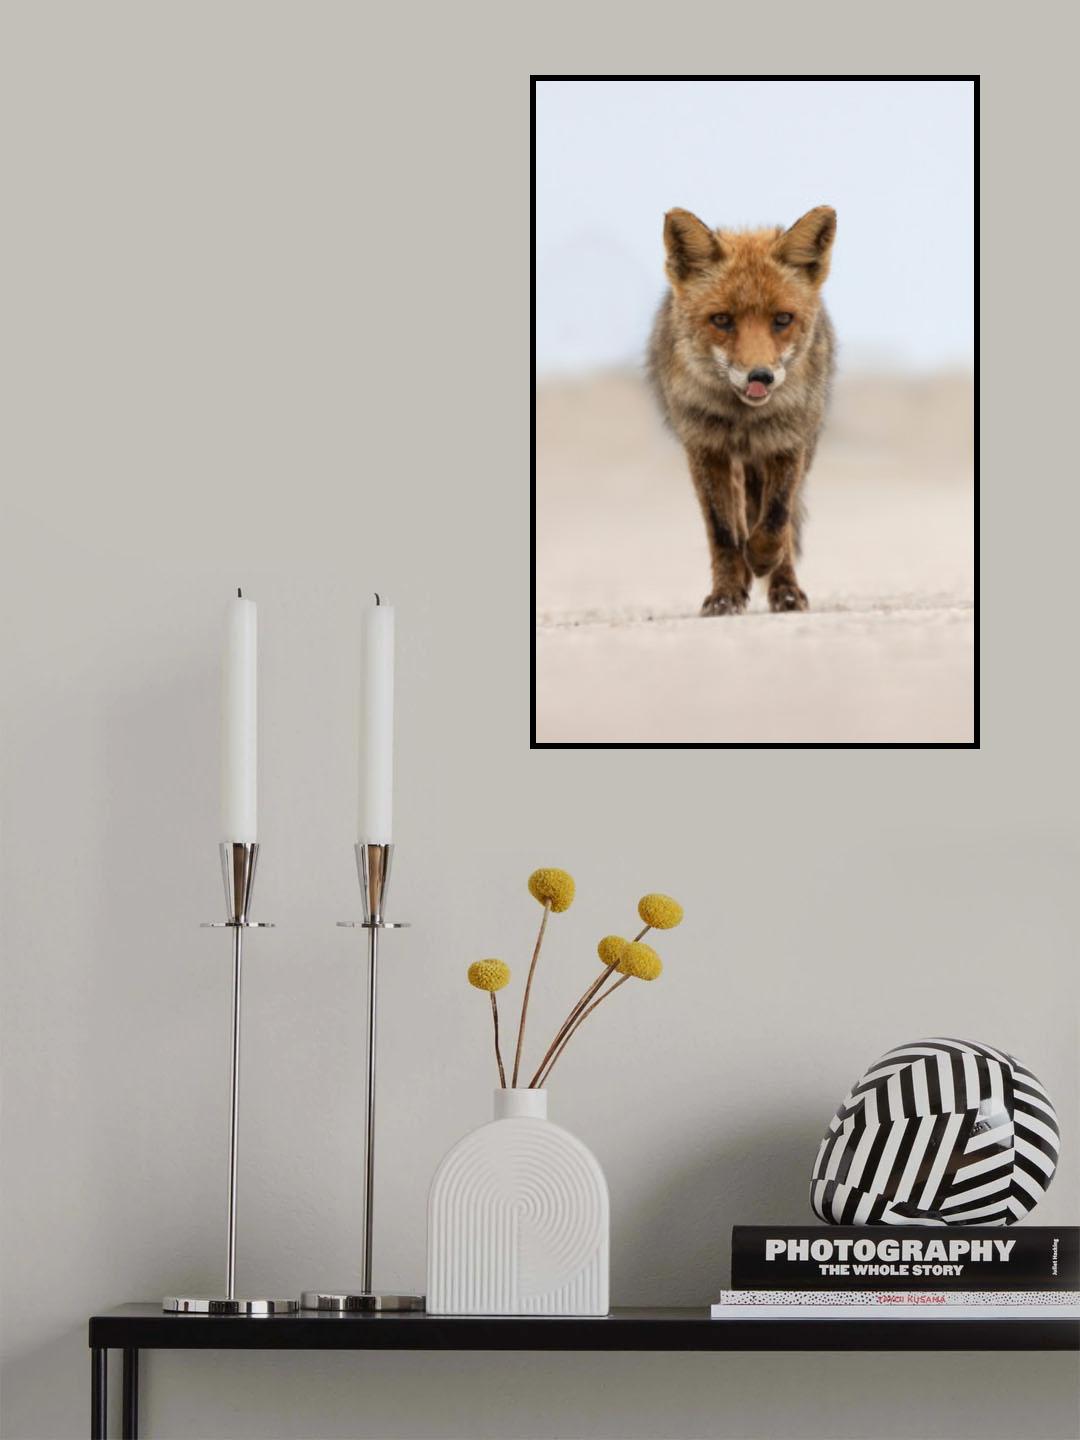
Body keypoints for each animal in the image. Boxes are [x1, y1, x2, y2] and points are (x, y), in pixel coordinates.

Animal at [647, 204, 837, 615]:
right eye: (722, 320)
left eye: (782, 319)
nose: (760, 376)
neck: (744, 420)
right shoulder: (705, 448)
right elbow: (722, 531)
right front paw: (726, 594)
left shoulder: (788, 442)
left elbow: (776, 519)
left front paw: (765, 563)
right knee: (737, 517)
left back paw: (783, 587)